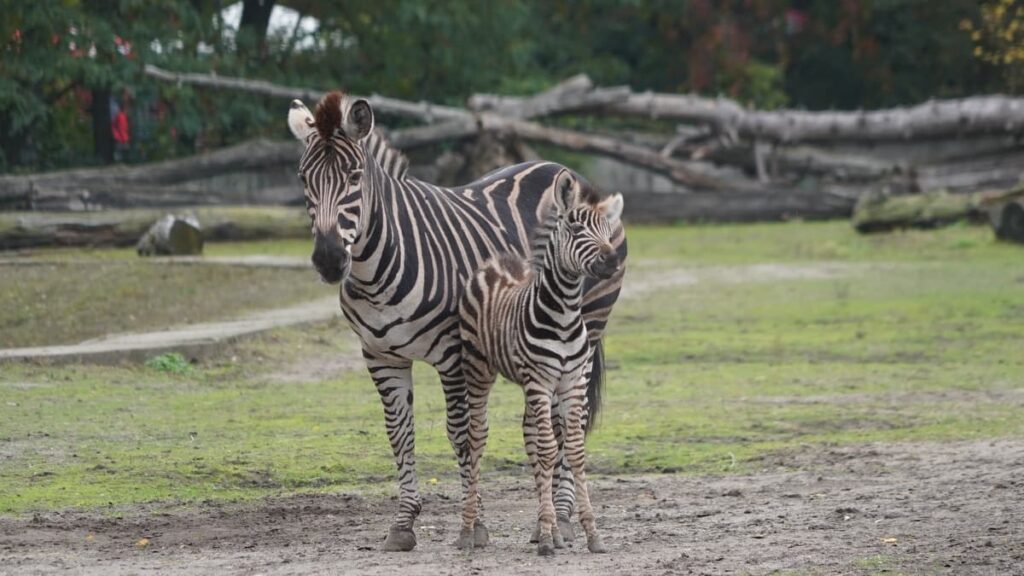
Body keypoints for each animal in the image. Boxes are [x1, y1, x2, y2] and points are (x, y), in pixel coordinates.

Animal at [458, 177, 622, 553]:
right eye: (575, 228)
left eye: (609, 231)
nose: (611, 259)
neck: (563, 317)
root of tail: (498, 262)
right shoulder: (540, 381)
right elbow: (549, 450)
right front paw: (548, 536)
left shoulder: (572, 381)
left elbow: (572, 450)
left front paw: (587, 533)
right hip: (478, 368)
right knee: (476, 438)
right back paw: (467, 531)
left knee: (531, 435)